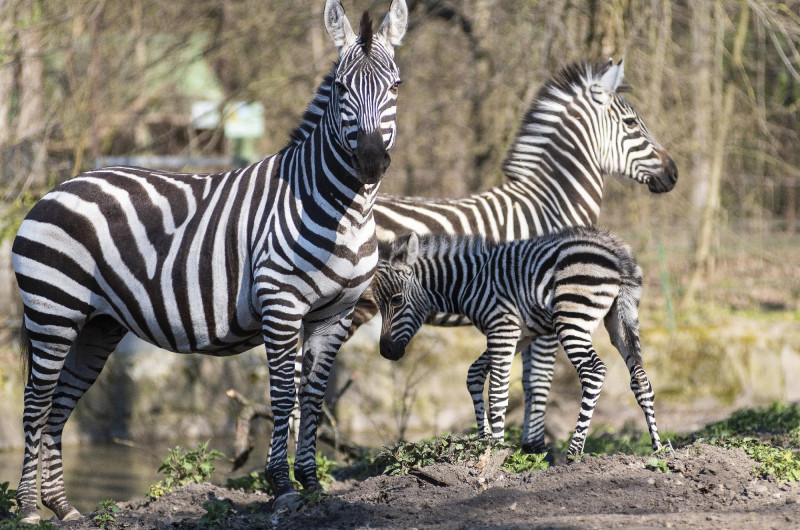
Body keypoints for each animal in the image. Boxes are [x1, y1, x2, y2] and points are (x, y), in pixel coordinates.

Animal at [14, 0, 406, 520]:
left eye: (396, 85)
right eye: (342, 87)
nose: (370, 161)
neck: (343, 210)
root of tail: (57, 187)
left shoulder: (334, 314)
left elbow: (314, 398)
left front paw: (312, 485)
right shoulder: (281, 305)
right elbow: (283, 396)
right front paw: (282, 486)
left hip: (98, 324)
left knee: (59, 406)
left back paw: (64, 508)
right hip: (52, 311)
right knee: (35, 404)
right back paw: (27, 508)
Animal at [374, 227, 664, 458]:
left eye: (396, 300)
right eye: (377, 303)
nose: (386, 351)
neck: (470, 280)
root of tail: (618, 253)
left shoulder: (502, 328)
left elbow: (497, 392)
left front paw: (496, 452)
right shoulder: (522, 334)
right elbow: (474, 374)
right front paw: (484, 442)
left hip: (571, 320)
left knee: (593, 371)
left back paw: (574, 451)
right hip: (620, 320)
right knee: (640, 379)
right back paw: (660, 449)